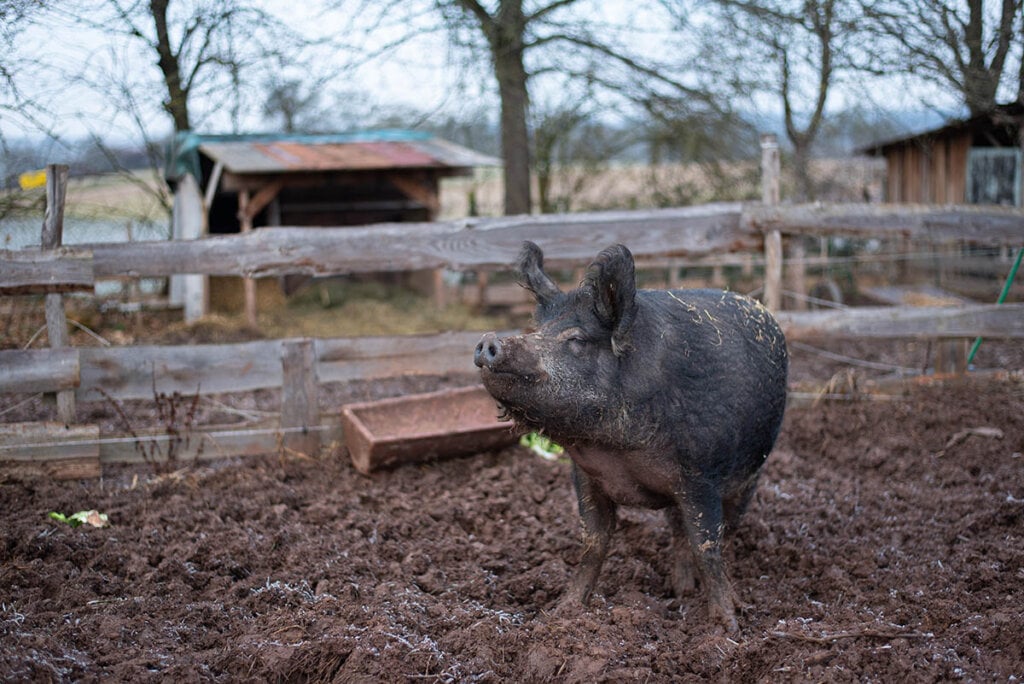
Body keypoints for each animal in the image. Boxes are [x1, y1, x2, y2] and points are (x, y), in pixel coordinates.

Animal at [475, 239, 786, 630]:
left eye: (576, 339)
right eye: (537, 329)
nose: (488, 341)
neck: (616, 449)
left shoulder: (700, 477)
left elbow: (707, 548)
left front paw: (727, 625)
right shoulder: (585, 476)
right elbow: (594, 543)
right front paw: (561, 612)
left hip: (750, 476)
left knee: (719, 531)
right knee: (677, 530)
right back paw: (680, 589)